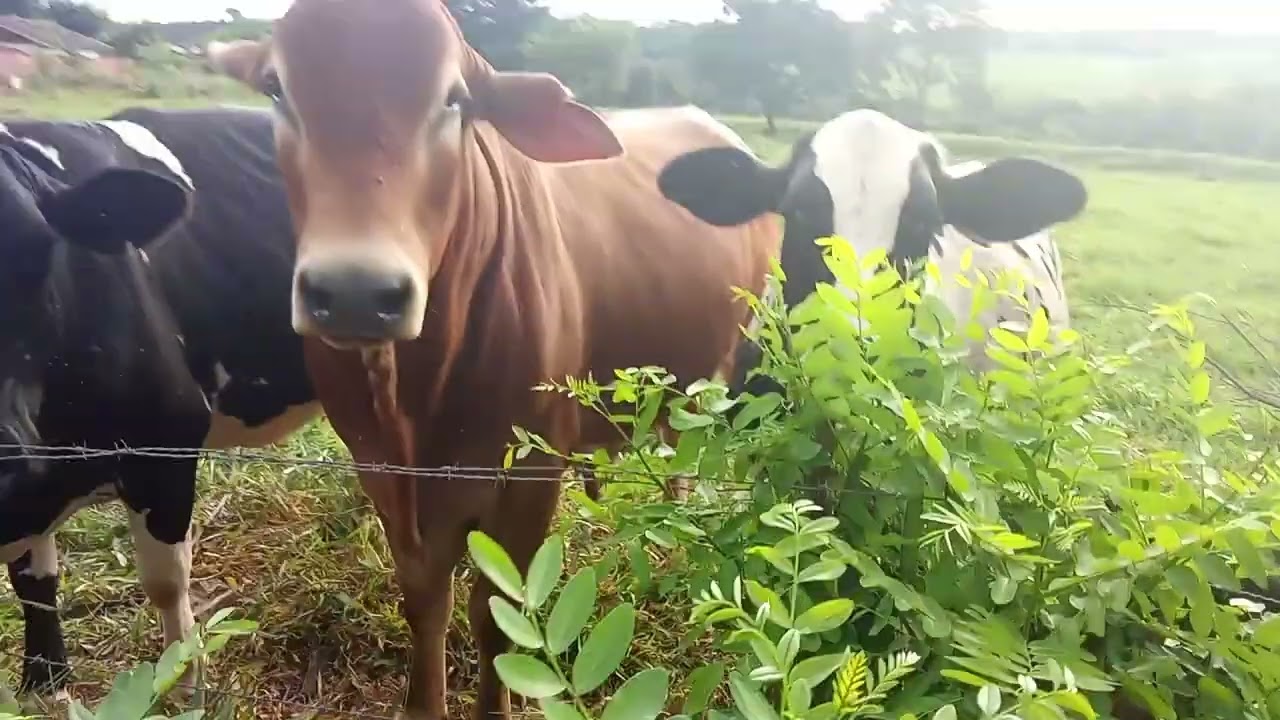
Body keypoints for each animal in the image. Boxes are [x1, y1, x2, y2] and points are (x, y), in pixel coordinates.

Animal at [0, 107, 319, 696]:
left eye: (39, 254)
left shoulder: (165, 444)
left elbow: (166, 582)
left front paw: (183, 683)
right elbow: (34, 581)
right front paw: (45, 681)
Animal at [206, 0, 781, 717]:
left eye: (454, 99)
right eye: (277, 89)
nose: (356, 293)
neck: (414, 396)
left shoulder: (531, 475)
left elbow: (496, 614)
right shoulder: (380, 473)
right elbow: (426, 599)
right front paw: (423, 704)